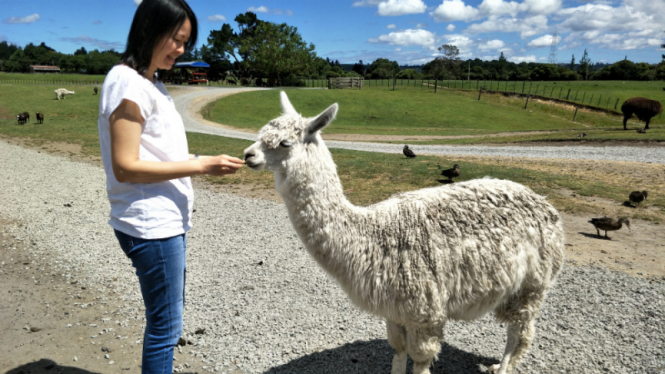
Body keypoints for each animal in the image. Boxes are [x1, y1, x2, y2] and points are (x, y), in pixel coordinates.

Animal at [241, 92, 564, 374]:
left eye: (284, 142)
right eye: (260, 134)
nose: (247, 155)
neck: (371, 237)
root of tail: (545, 203)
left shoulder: (426, 312)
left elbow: (420, 362)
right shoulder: (395, 311)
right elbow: (398, 352)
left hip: (533, 284)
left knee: (519, 331)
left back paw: (502, 367)